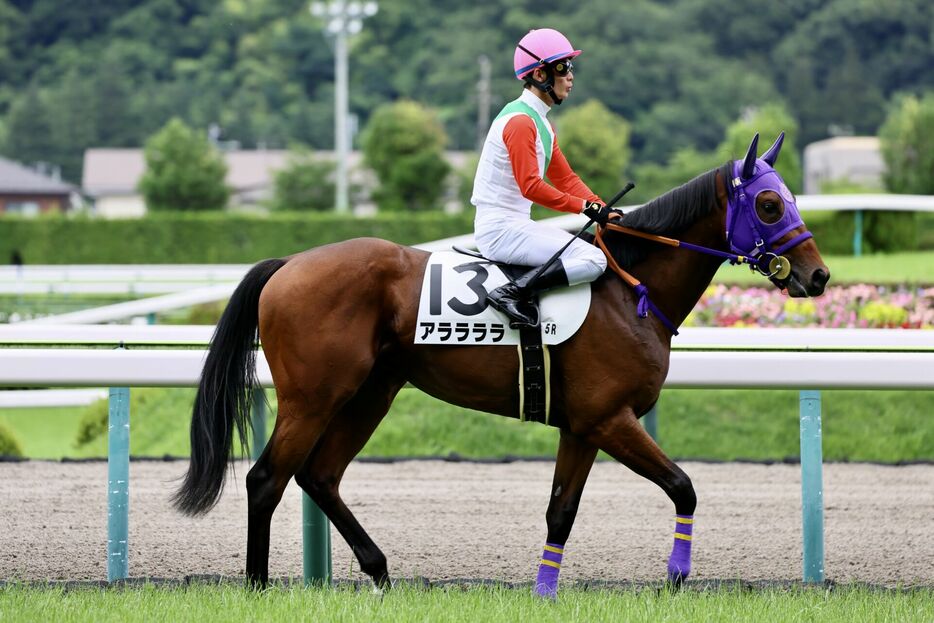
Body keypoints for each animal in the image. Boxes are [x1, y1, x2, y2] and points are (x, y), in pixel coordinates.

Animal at [176, 133, 832, 596]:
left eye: (790, 200)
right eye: (769, 204)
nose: (818, 275)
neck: (630, 290)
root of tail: (287, 264)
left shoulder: (583, 426)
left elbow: (561, 511)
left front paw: (544, 592)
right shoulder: (611, 419)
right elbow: (683, 486)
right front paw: (674, 576)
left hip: (371, 393)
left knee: (320, 475)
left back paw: (380, 570)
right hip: (314, 397)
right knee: (267, 478)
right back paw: (259, 587)